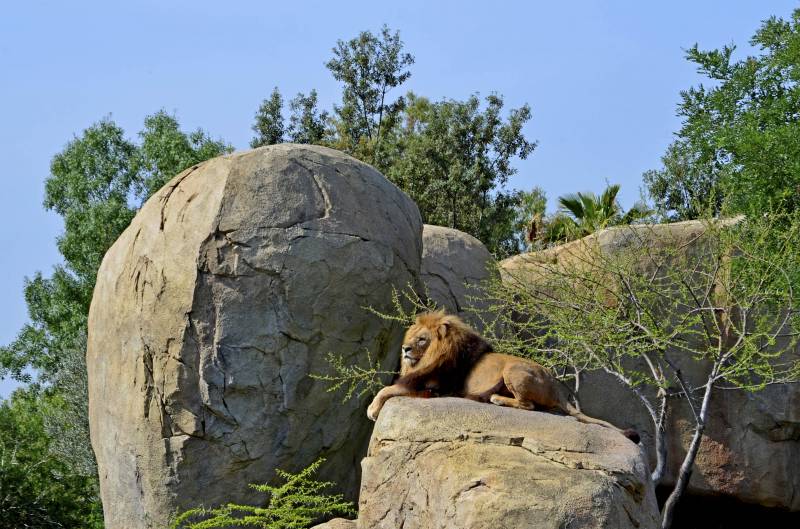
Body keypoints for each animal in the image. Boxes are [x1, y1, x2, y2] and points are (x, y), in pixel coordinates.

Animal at [366, 310, 640, 442]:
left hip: (512, 369)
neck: (433, 355)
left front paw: (372, 410)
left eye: (422, 339)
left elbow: (387, 390)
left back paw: (497, 399)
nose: (405, 349)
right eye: (412, 337)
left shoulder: (432, 385)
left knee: (529, 405)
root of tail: (557, 388)